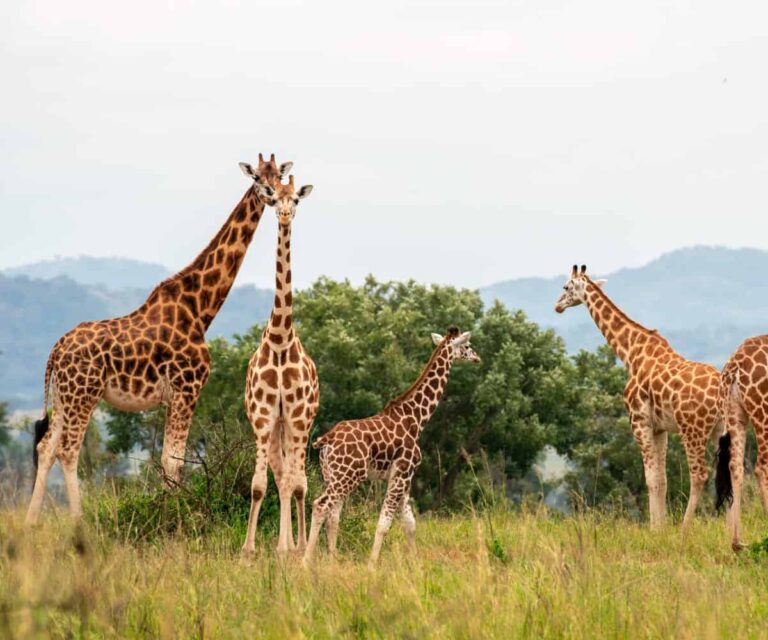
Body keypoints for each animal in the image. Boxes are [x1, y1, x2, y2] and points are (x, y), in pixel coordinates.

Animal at [25, 155, 289, 525]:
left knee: (46, 446)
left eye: (278, 176)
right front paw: (176, 517)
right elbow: (173, 461)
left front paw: (169, 513)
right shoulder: (187, 388)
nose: (271, 194)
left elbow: (169, 459)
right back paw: (79, 523)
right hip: (83, 395)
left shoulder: (175, 395)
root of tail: (56, 349)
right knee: (67, 450)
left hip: (64, 396)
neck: (200, 308)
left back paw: (30, 522)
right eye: (257, 179)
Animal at [303, 326, 480, 566]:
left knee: (333, 514)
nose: (477, 358)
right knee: (321, 505)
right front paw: (371, 565)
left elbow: (409, 523)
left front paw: (415, 564)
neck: (416, 419)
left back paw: (332, 561)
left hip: (331, 474)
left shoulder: (402, 476)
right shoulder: (403, 472)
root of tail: (326, 441)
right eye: (468, 346)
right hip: (348, 475)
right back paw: (305, 561)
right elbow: (384, 523)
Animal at [555, 265, 722, 528]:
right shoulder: (660, 428)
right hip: (721, 428)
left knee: (699, 475)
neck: (631, 353)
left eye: (565, 286)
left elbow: (651, 479)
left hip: (692, 429)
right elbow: (662, 480)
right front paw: (661, 526)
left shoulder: (639, 421)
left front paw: (656, 529)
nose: (557, 306)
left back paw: (684, 529)